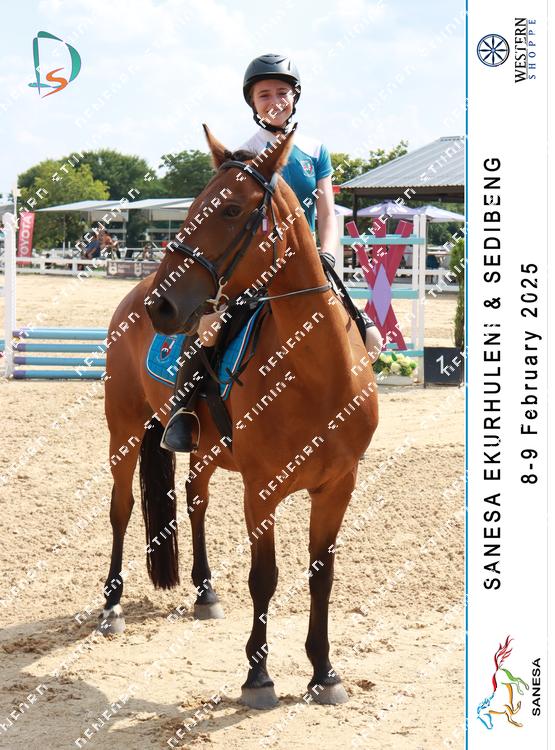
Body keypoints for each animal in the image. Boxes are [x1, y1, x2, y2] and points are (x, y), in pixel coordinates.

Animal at [101, 124, 379, 709]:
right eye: (191, 209)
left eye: (230, 209)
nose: (163, 307)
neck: (316, 372)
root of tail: (134, 292)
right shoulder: (262, 489)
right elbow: (264, 577)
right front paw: (258, 675)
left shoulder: (338, 485)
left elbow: (322, 574)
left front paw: (324, 671)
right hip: (123, 431)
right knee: (121, 509)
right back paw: (110, 604)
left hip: (202, 448)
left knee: (195, 500)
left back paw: (205, 591)